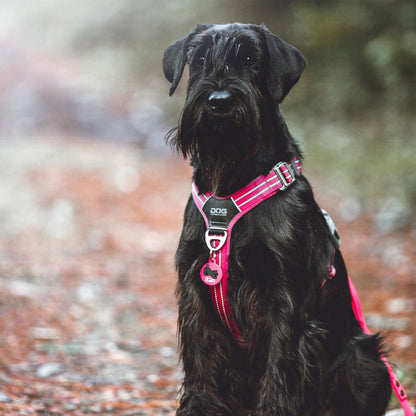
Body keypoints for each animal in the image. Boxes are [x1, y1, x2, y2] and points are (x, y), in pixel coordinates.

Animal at [162, 23, 390, 416]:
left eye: (251, 59)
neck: (230, 186)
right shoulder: (195, 292)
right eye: (201, 58)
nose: (219, 101)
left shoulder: (283, 299)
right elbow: (202, 365)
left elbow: (279, 369)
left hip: (366, 360)